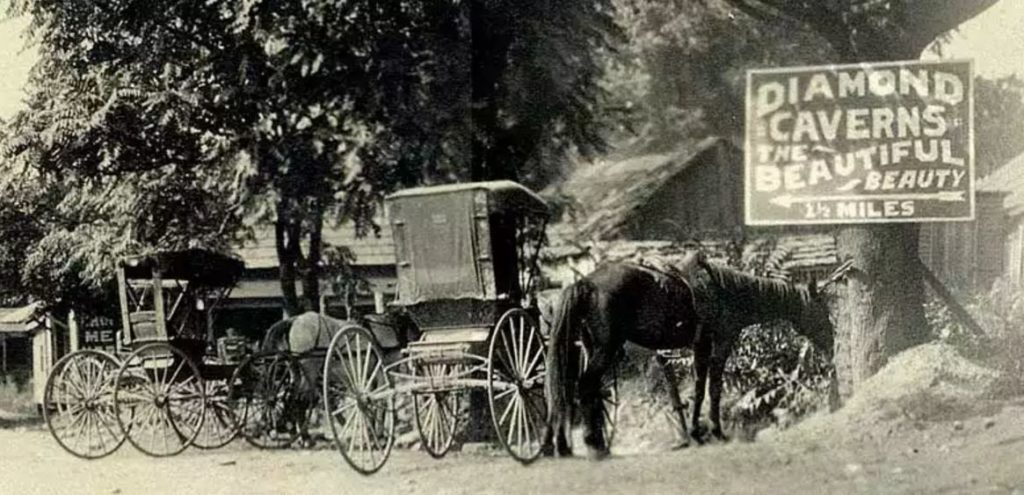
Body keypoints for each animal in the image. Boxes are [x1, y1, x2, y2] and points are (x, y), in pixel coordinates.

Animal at [544, 256, 831, 461]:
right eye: (821, 310)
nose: (831, 340)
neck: (727, 292)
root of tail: (587, 283)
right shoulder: (721, 344)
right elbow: (714, 388)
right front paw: (716, 432)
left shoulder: (700, 347)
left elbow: (699, 388)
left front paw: (696, 433)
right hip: (605, 350)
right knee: (585, 387)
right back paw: (594, 446)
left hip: (589, 350)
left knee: (579, 391)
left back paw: (587, 445)